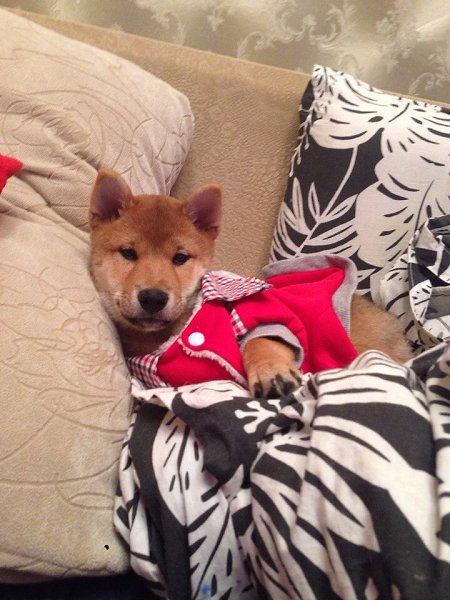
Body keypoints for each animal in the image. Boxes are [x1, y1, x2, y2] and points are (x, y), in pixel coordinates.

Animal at [89, 169, 412, 398]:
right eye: (128, 253)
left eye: (180, 258)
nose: (153, 298)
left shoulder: (268, 317)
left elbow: (259, 342)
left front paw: (271, 372)